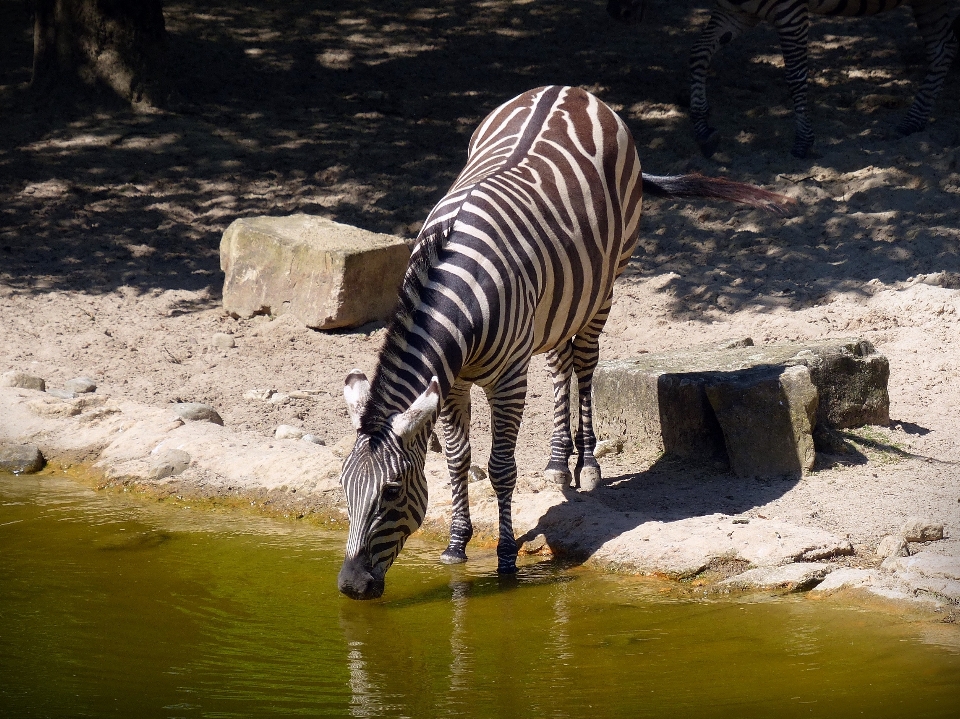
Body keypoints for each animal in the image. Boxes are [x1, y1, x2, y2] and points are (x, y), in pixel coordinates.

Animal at [334, 86, 792, 600]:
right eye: (343, 487)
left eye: (391, 492)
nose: (351, 586)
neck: (452, 289)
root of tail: (570, 89)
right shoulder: (451, 383)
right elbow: (457, 461)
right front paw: (456, 543)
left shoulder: (508, 379)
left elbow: (500, 467)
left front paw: (506, 557)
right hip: (556, 303)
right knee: (560, 363)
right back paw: (558, 460)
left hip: (605, 284)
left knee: (586, 362)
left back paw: (586, 462)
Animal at [608, 0, 960, 158]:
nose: (618, 14)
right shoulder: (736, 12)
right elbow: (698, 53)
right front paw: (703, 129)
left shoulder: (791, 14)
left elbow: (795, 75)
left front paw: (803, 141)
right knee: (943, 49)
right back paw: (913, 121)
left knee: (942, 48)